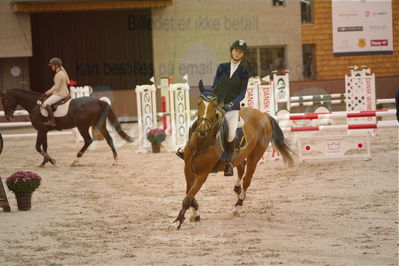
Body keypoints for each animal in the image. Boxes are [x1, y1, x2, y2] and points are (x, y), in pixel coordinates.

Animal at [0, 88, 134, 165]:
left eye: (4, 100)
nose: (8, 117)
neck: (35, 105)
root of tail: (97, 101)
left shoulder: (41, 130)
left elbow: (38, 147)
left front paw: (50, 160)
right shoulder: (44, 131)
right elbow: (45, 146)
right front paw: (45, 161)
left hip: (82, 126)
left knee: (88, 140)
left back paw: (76, 160)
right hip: (99, 125)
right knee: (109, 139)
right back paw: (115, 160)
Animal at [172, 85, 294, 229]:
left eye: (214, 105)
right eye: (198, 103)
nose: (202, 128)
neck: (201, 144)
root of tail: (263, 114)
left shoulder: (203, 174)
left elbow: (188, 197)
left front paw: (178, 221)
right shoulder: (188, 169)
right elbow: (189, 193)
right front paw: (195, 214)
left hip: (255, 156)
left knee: (247, 179)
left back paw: (238, 205)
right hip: (239, 156)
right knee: (241, 169)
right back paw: (237, 189)